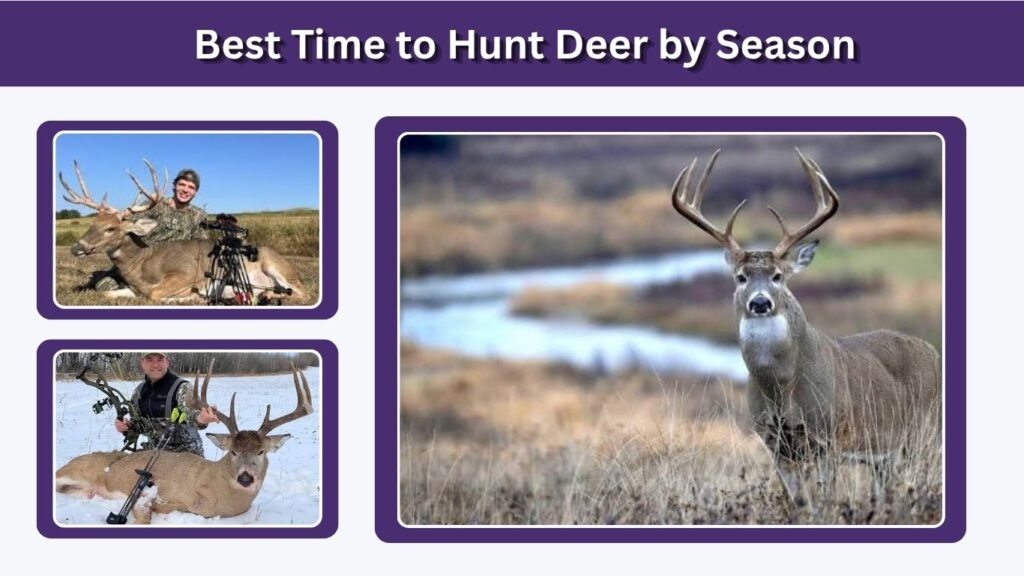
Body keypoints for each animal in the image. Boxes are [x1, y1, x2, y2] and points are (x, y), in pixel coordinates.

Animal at [59, 159, 306, 302]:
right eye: (93, 223)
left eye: (111, 228)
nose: (76, 247)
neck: (142, 265)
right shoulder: (133, 288)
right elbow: (104, 291)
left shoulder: (187, 274)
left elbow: (156, 294)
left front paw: (189, 298)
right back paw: (265, 294)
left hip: (275, 266)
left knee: (303, 292)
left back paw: (268, 294)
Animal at [671, 149, 940, 508]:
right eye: (741, 277)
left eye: (778, 276)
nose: (760, 302)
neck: (782, 389)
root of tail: (934, 352)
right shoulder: (775, 444)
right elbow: (799, 502)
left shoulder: (830, 436)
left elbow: (826, 499)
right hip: (886, 454)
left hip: (925, 434)